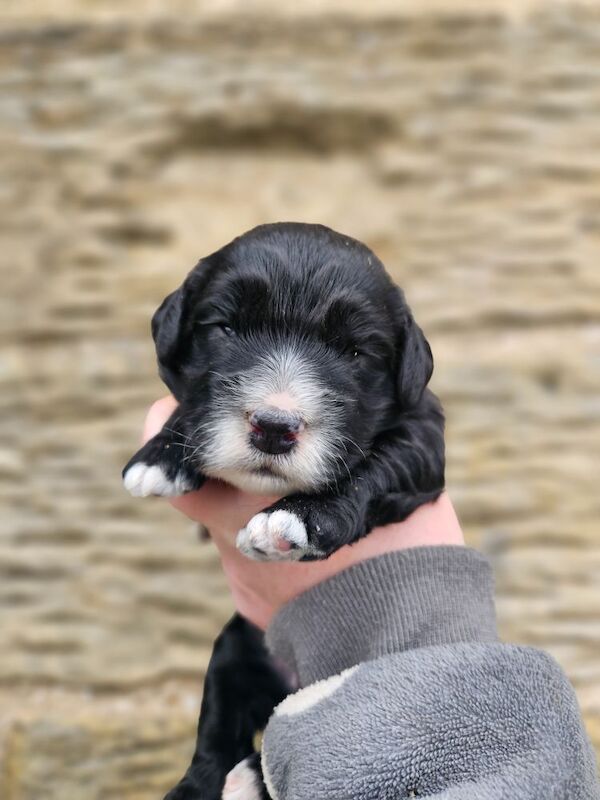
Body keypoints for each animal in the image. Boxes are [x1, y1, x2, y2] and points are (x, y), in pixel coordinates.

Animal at [122, 222, 446, 796]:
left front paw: (298, 517)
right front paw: (161, 455)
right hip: (235, 647)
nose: (274, 426)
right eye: (225, 329)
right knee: (218, 737)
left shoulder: (424, 434)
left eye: (355, 353)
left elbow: (376, 464)